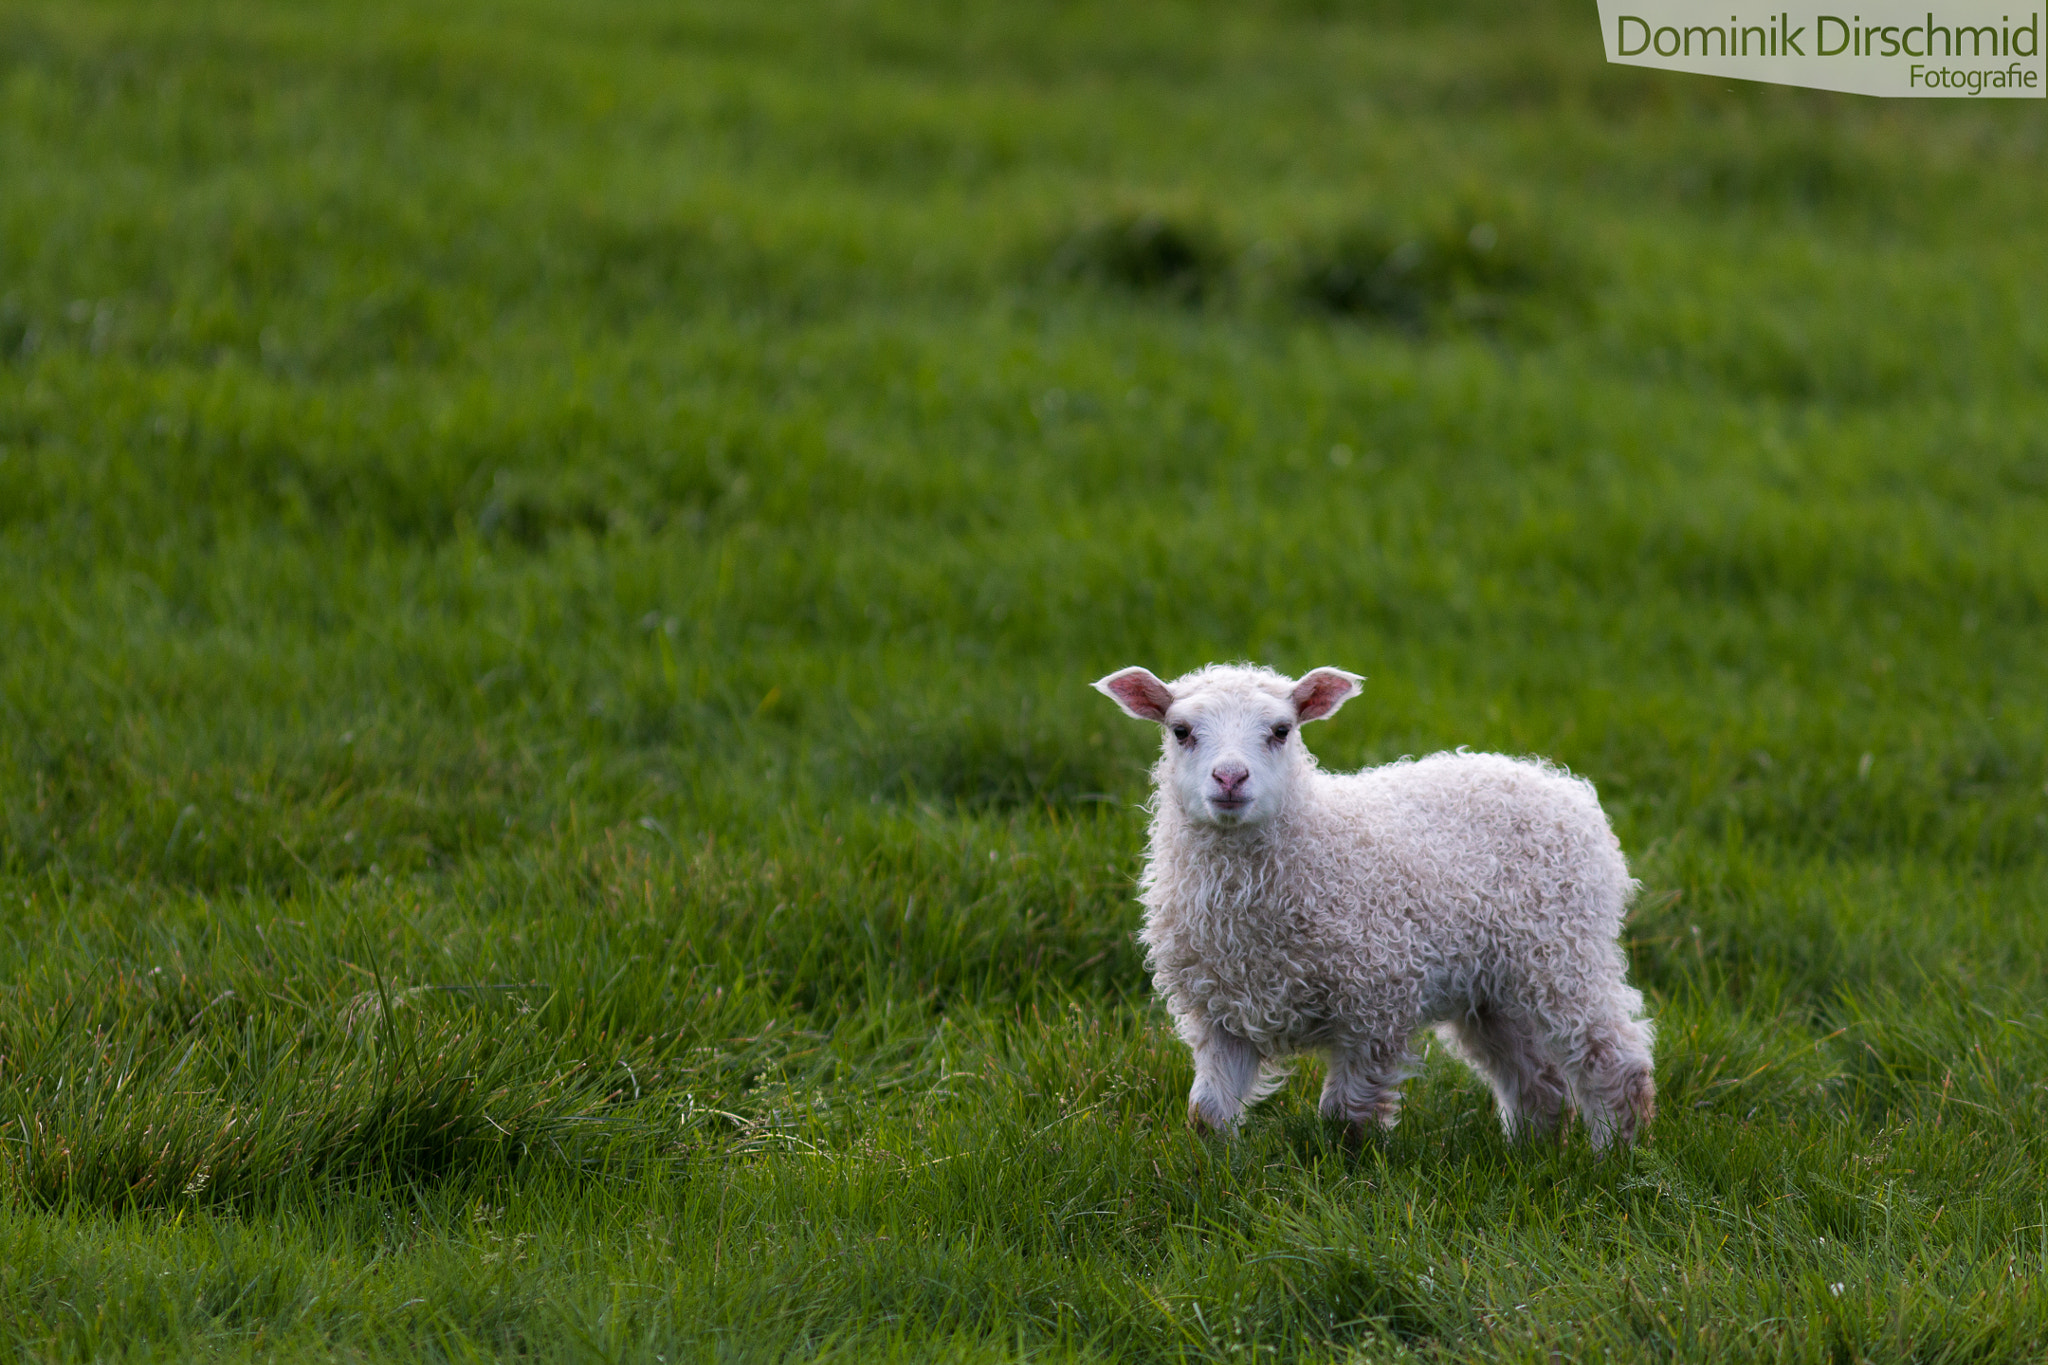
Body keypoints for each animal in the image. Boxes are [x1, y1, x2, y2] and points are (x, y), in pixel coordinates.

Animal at [1093, 662, 1655, 1148]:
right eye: (1180, 730)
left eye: (1281, 730)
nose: (1230, 778)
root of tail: (1559, 783)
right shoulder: (1221, 1011)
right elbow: (1207, 1115)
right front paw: (1214, 1174)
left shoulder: (1376, 1000)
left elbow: (1346, 1118)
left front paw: (1349, 1174)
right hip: (1492, 986)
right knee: (1535, 1078)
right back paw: (1532, 1156)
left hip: (1563, 951)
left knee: (1613, 1057)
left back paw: (1614, 1157)